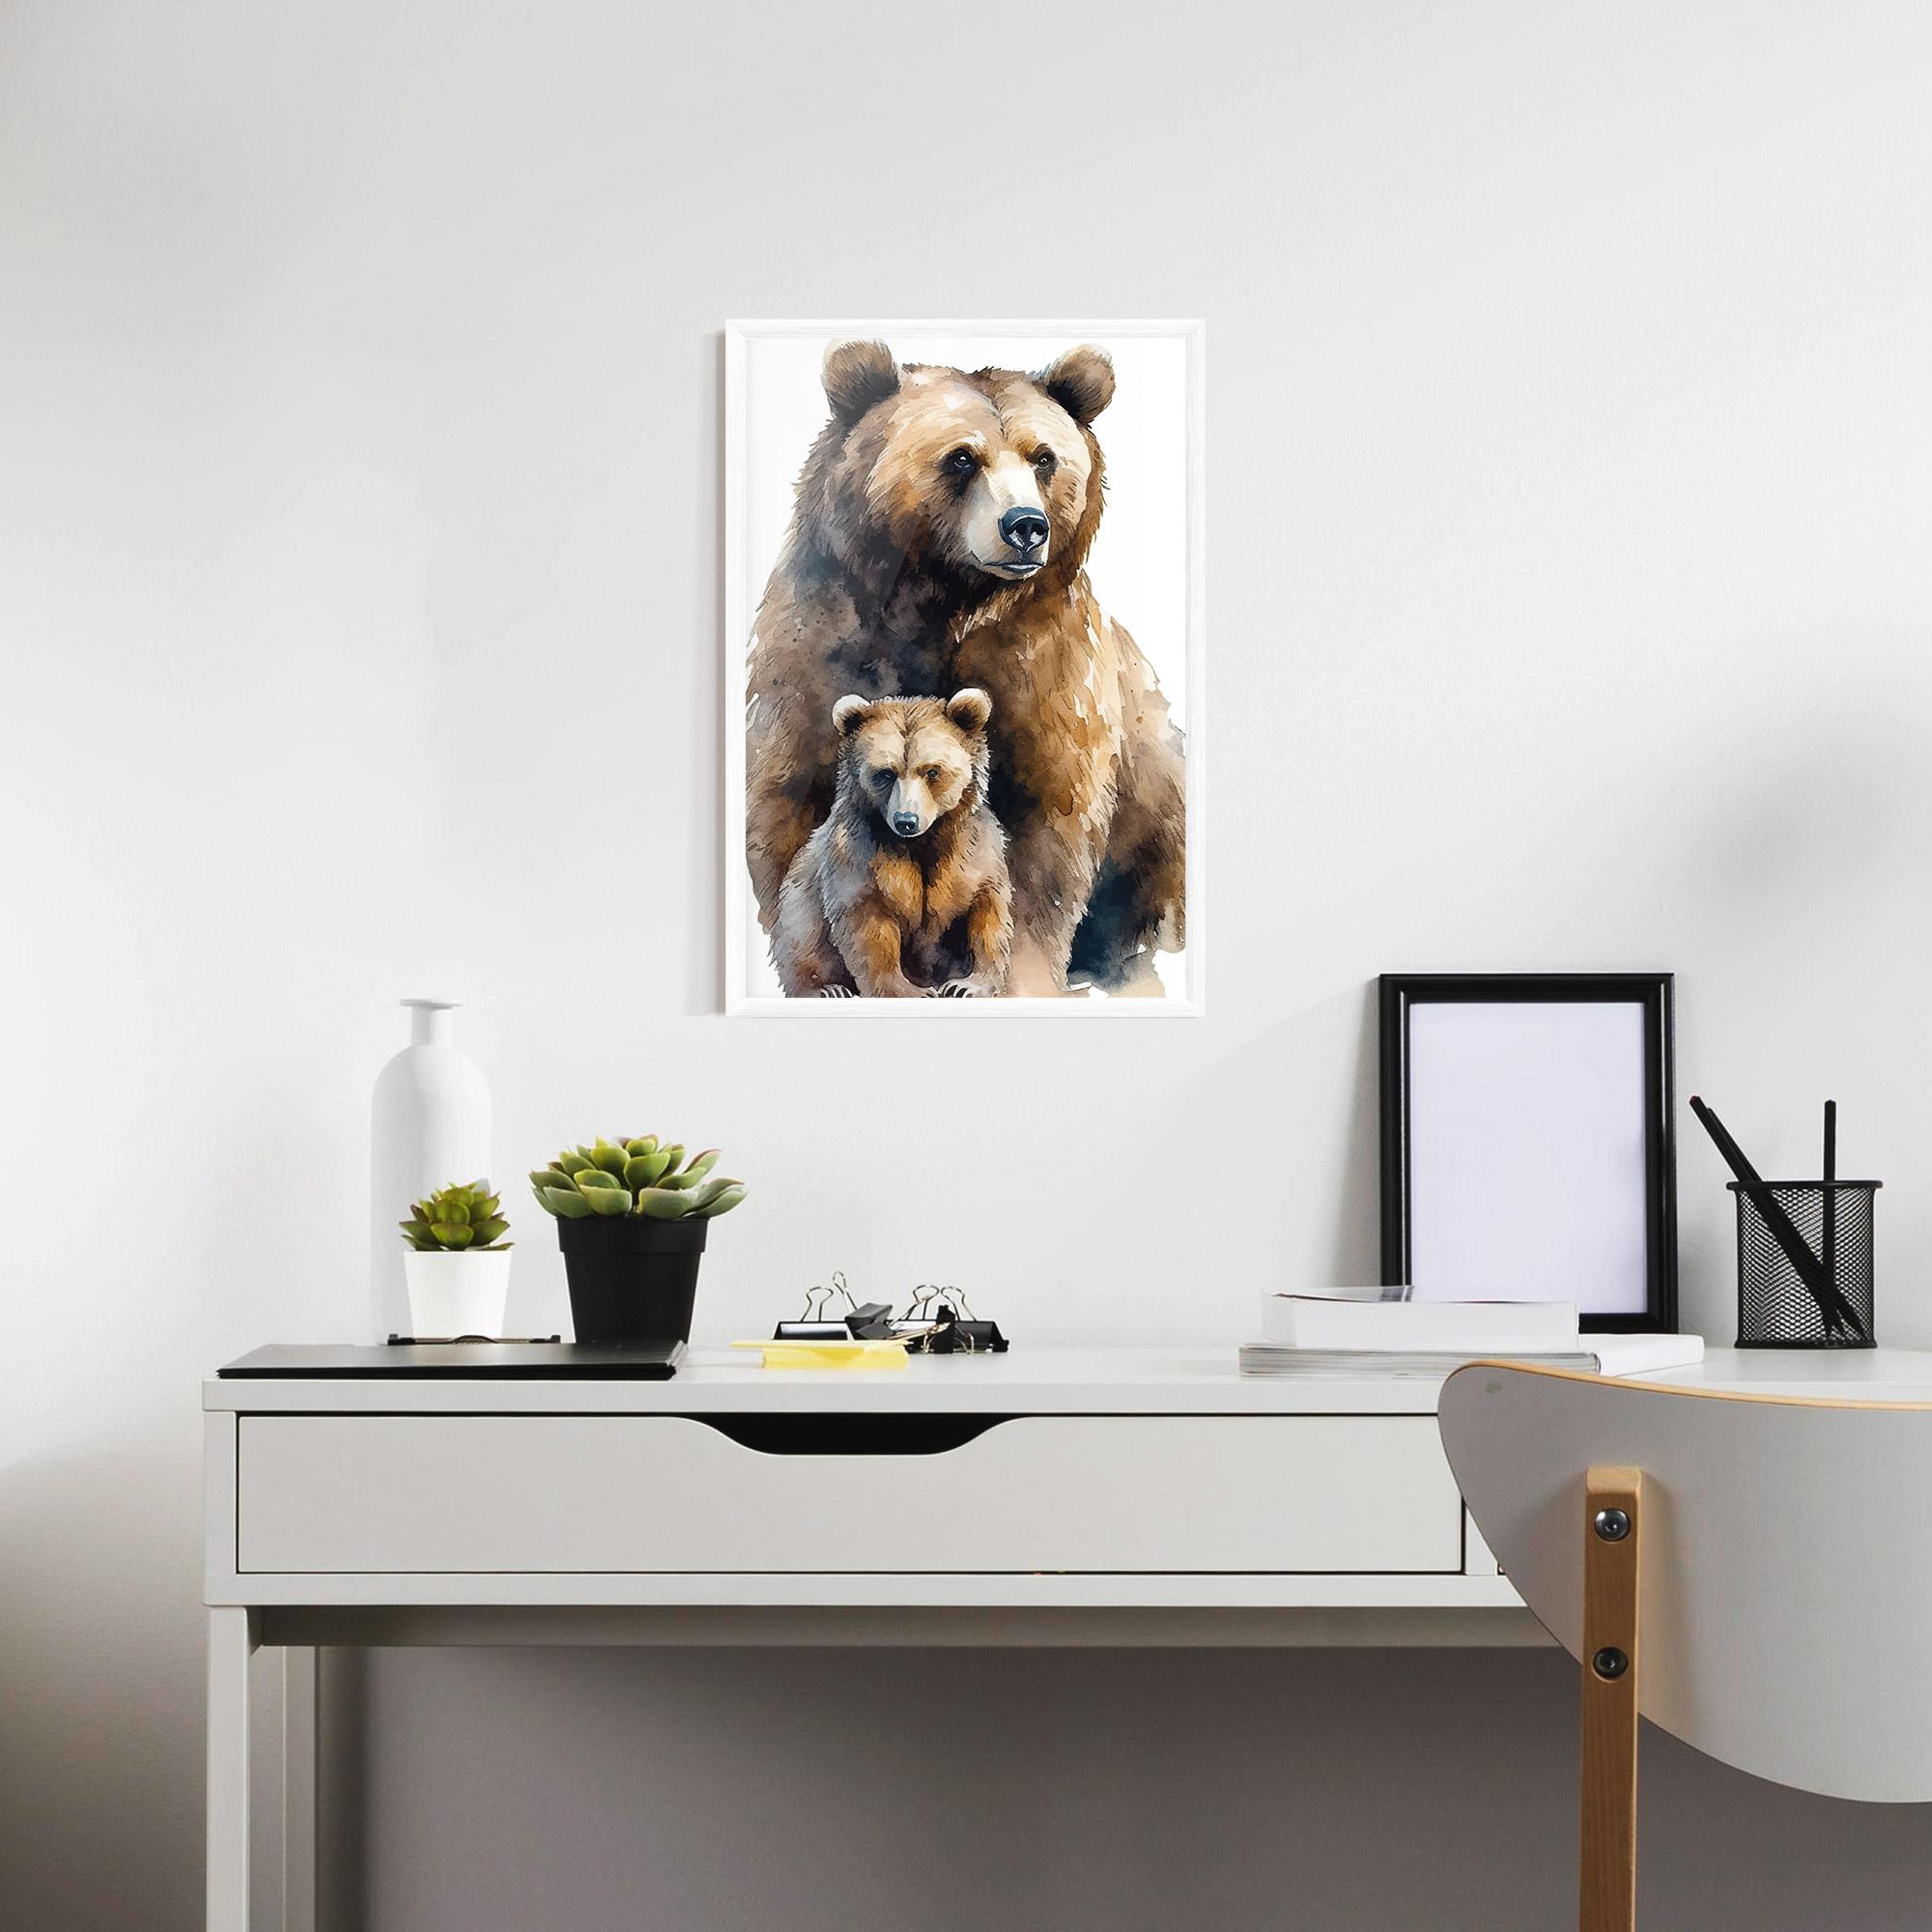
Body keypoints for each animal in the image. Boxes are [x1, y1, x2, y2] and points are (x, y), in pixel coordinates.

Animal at [771, 688, 1012, 999]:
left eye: (932, 771)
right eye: (885, 772)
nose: (906, 820)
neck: (922, 842)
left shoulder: (973, 852)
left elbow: (987, 913)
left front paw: (967, 984)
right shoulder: (858, 856)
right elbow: (869, 925)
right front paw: (910, 991)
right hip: (798, 896)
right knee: (800, 935)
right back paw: (825, 988)